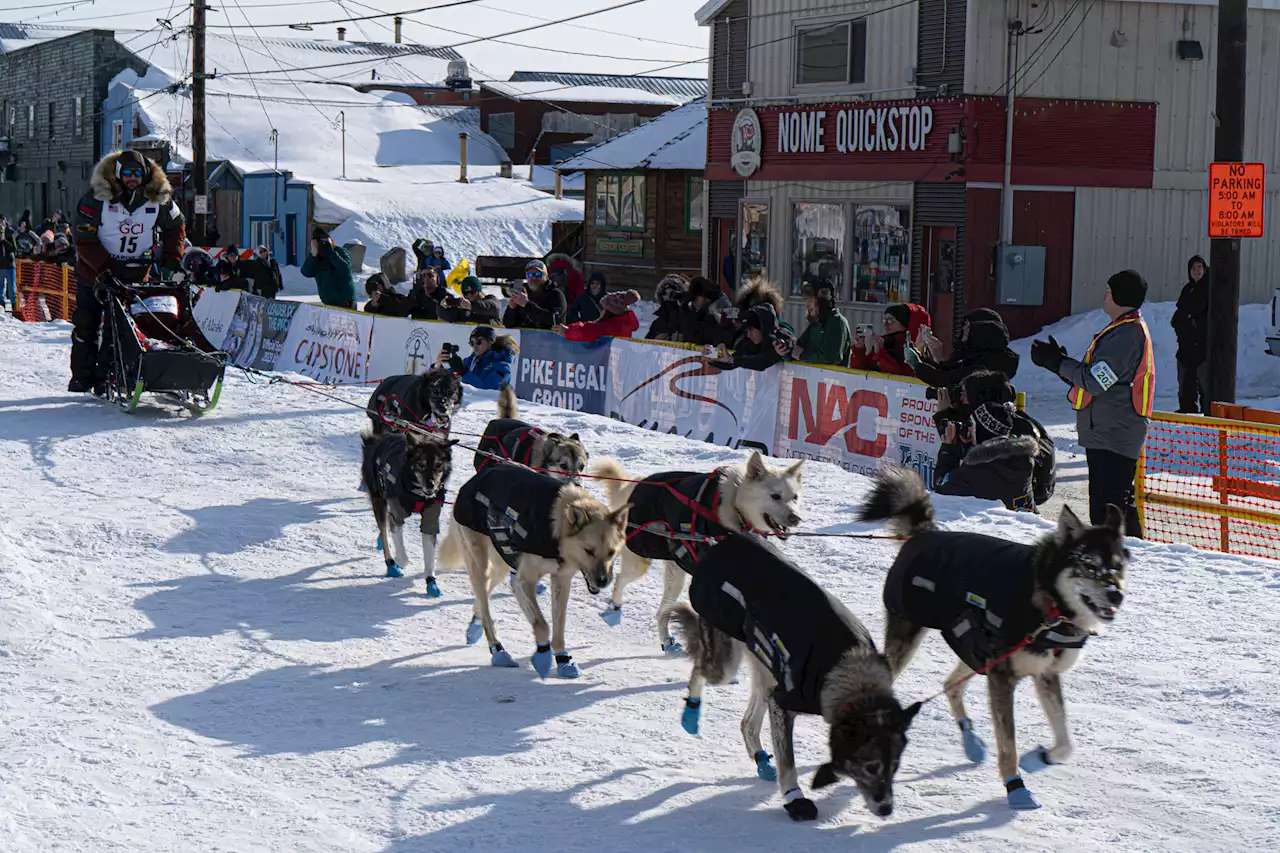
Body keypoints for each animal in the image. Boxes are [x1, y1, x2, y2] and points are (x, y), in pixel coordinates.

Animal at [440, 461, 629, 676]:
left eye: (611, 552)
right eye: (589, 551)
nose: (603, 581)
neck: (556, 531)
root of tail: (479, 476)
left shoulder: (561, 580)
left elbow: (559, 624)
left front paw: (563, 659)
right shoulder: (525, 580)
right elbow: (541, 623)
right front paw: (543, 656)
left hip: (501, 565)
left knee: (484, 597)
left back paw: (474, 627)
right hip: (480, 565)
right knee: (485, 606)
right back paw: (498, 651)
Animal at [591, 450, 798, 650]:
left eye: (795, 497)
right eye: (775, 496)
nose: (796, 518)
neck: (735, 508)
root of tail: (633, 487)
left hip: (674, 574)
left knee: (661, 612)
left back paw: (666, 639)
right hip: (640, 558)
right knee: (619, 578)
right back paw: (614, 603)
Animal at [860, 468, 1131, 809]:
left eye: (1118, 568)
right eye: (1089, 565)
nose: (1116, 594)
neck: (1049, 604)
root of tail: (923, 533)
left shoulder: (1044, 674)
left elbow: (1066, 740)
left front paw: (1042, 757)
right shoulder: (1003, 677)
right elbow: (1008, 744)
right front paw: (1016, 787)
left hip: (974, 648)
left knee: (951, 684)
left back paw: (970, 740)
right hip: (916, 640)